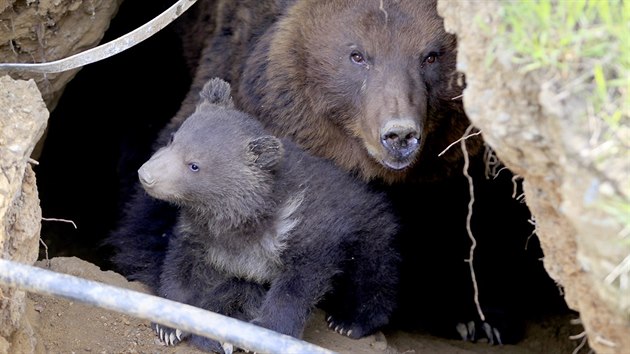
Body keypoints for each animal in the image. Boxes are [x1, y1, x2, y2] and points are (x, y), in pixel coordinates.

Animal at [108, 0, 568, 346]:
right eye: (357, 54)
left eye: (432, 55)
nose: (399, 134)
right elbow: (154, 230)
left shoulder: (454, 172)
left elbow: (477, 230)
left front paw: (480, 316)